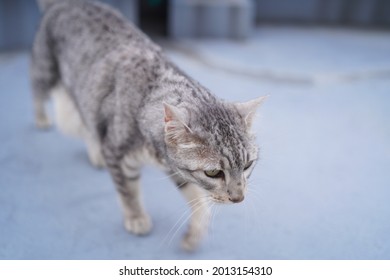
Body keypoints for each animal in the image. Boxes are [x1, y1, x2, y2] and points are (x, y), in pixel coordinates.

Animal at [32, 0, 266, 250]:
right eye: (213, 172)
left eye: (247, 165)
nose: (238, 198)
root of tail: (66, 3)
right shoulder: (117, 154)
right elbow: (127, 191)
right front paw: (136, 217)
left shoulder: (175, 168)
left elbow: (197, 197)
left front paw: (196, 231)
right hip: (46, 70)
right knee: (37, 89)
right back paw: (42, 118)